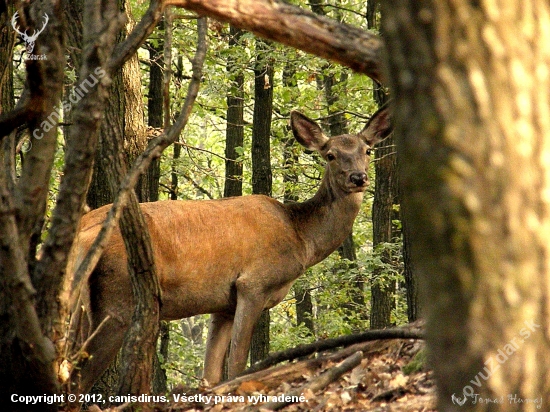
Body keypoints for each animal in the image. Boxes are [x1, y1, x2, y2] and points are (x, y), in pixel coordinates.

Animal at [66, 106, 392, 392]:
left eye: (367, 151)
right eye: (331, 155)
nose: (358, 178)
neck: (300, 238)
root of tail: (83, 236)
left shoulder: (222, 303)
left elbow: (210, 376)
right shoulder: (253, 283)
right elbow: (236, 366)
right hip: (117, 300)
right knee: (77, 378)